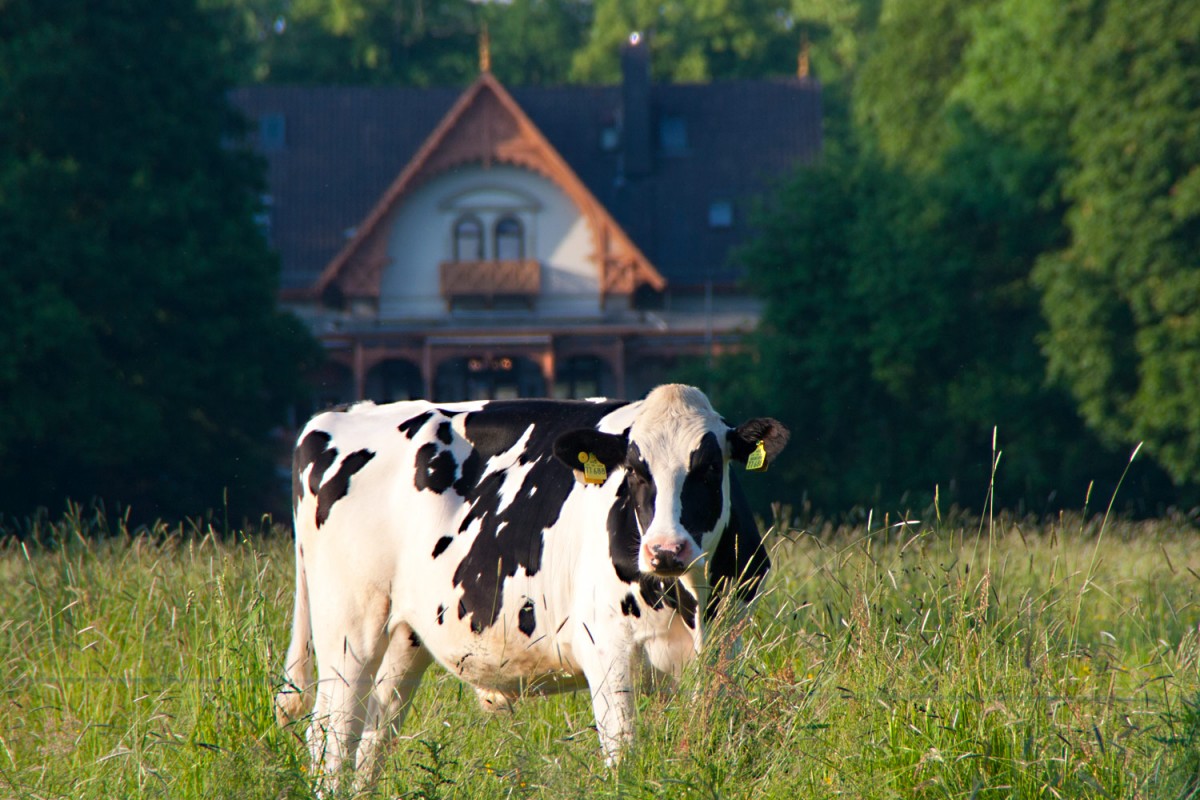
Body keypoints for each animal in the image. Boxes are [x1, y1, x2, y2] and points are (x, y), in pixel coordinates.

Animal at [274, 383, 787, 786]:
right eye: (636, 471)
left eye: (709, 468)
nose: (664, 550)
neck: (692, 600)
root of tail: (343, 413)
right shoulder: (607, 650)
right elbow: (623, 754)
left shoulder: (726, 650)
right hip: (348, 627)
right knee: (331, 734)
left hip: (405, 636)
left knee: (375, 732)